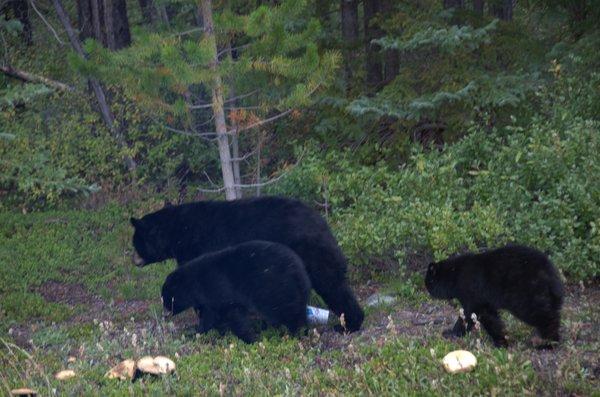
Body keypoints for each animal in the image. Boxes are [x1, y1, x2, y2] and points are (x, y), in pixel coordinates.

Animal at [159, 240, 310, 342]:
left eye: (166, 298)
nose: (165, 313)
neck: (195, 283)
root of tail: (299, 269)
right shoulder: (209, 299)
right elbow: (211, 316)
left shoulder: (219, 289)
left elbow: (232, 315)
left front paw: (249, 338)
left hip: (275, 290)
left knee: (287, 311)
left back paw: (294, 333)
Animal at [424, 244, 564, 346]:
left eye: (428, 281)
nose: (426, 288)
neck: (454, 276)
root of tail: (551, 274)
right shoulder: (485, 300)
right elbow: (491, 317)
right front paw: (502, 339)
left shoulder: (472, 291)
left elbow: (470, 314)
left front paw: (451, 332)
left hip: (527, 293)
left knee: (541, 315)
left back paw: (548, 341)